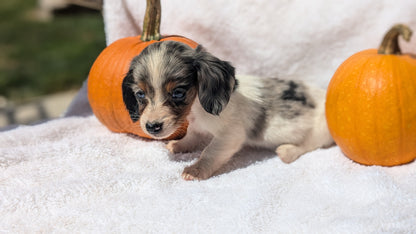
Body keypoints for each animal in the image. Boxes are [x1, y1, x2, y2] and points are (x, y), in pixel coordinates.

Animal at [122, 40, 334, 181]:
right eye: (140, 94)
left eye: (178, 92)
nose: (152, 127)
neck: (197, 109)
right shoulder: (196, 128)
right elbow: (191, 137)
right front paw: (179, 145)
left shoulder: (230, 135)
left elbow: (209, 152)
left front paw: (196, 170)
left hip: (320, 130)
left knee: (308, 145)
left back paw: (288, 151)